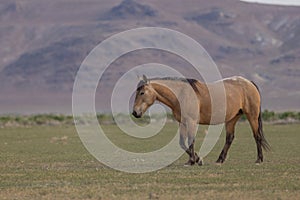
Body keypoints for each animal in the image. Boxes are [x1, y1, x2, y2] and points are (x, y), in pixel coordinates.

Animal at [131, 75, 270, 166]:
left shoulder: (192, 122)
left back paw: (259, 159)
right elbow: (182, 142)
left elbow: (190, 140)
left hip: (252, 116)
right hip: (232, 119)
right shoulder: (183, 122)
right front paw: (193, 160)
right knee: (229, 138)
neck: (182, 94)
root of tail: (249, 83)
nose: (135, 112)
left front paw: (195, 160)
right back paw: (220, 160)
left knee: (256, 136)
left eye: (142, 92)